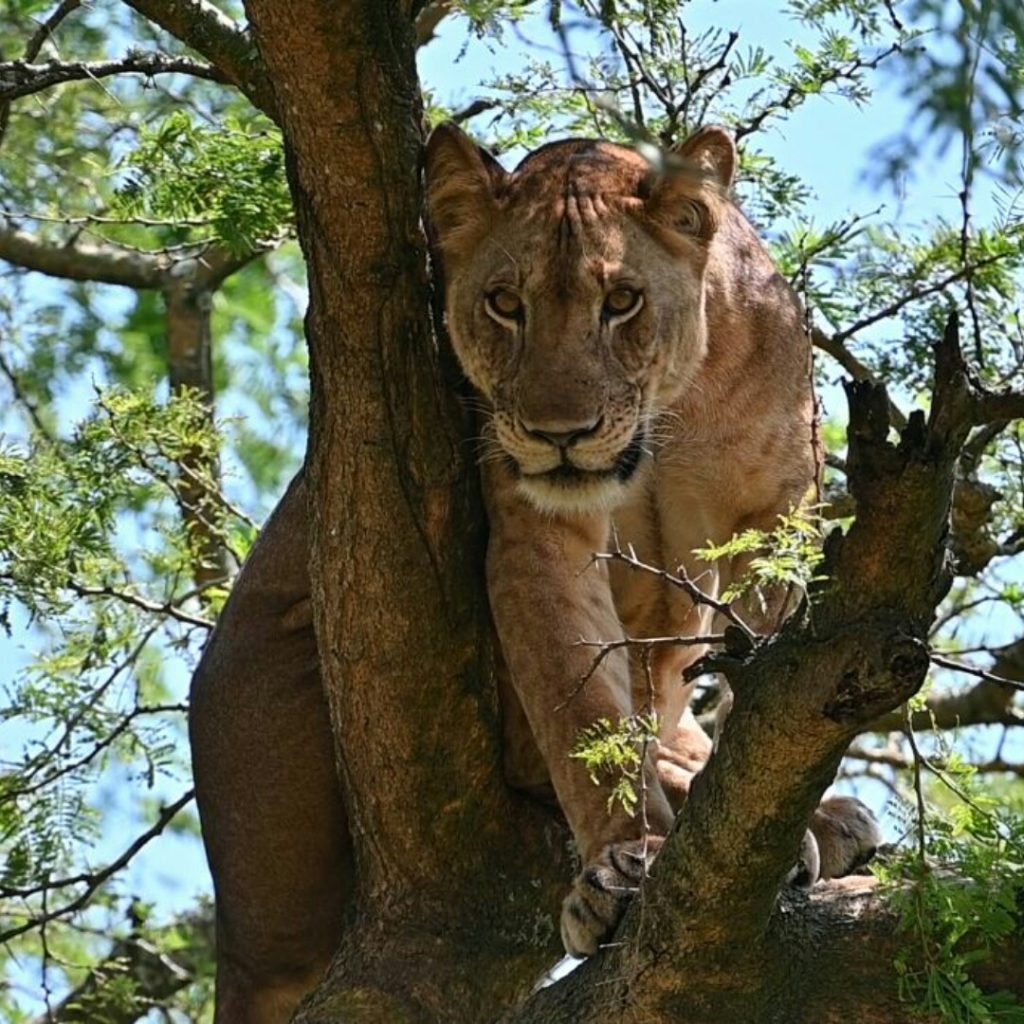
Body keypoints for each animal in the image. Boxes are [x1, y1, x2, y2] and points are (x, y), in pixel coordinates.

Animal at [189, 124, 879, 1022]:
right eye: (504, 304)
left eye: (620, 301)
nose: (560, 434)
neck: (669, 413)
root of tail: (239, 935)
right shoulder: (537, 541)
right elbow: (581, 715)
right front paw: (624, 868)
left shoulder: (777, 519)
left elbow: (759, 685)